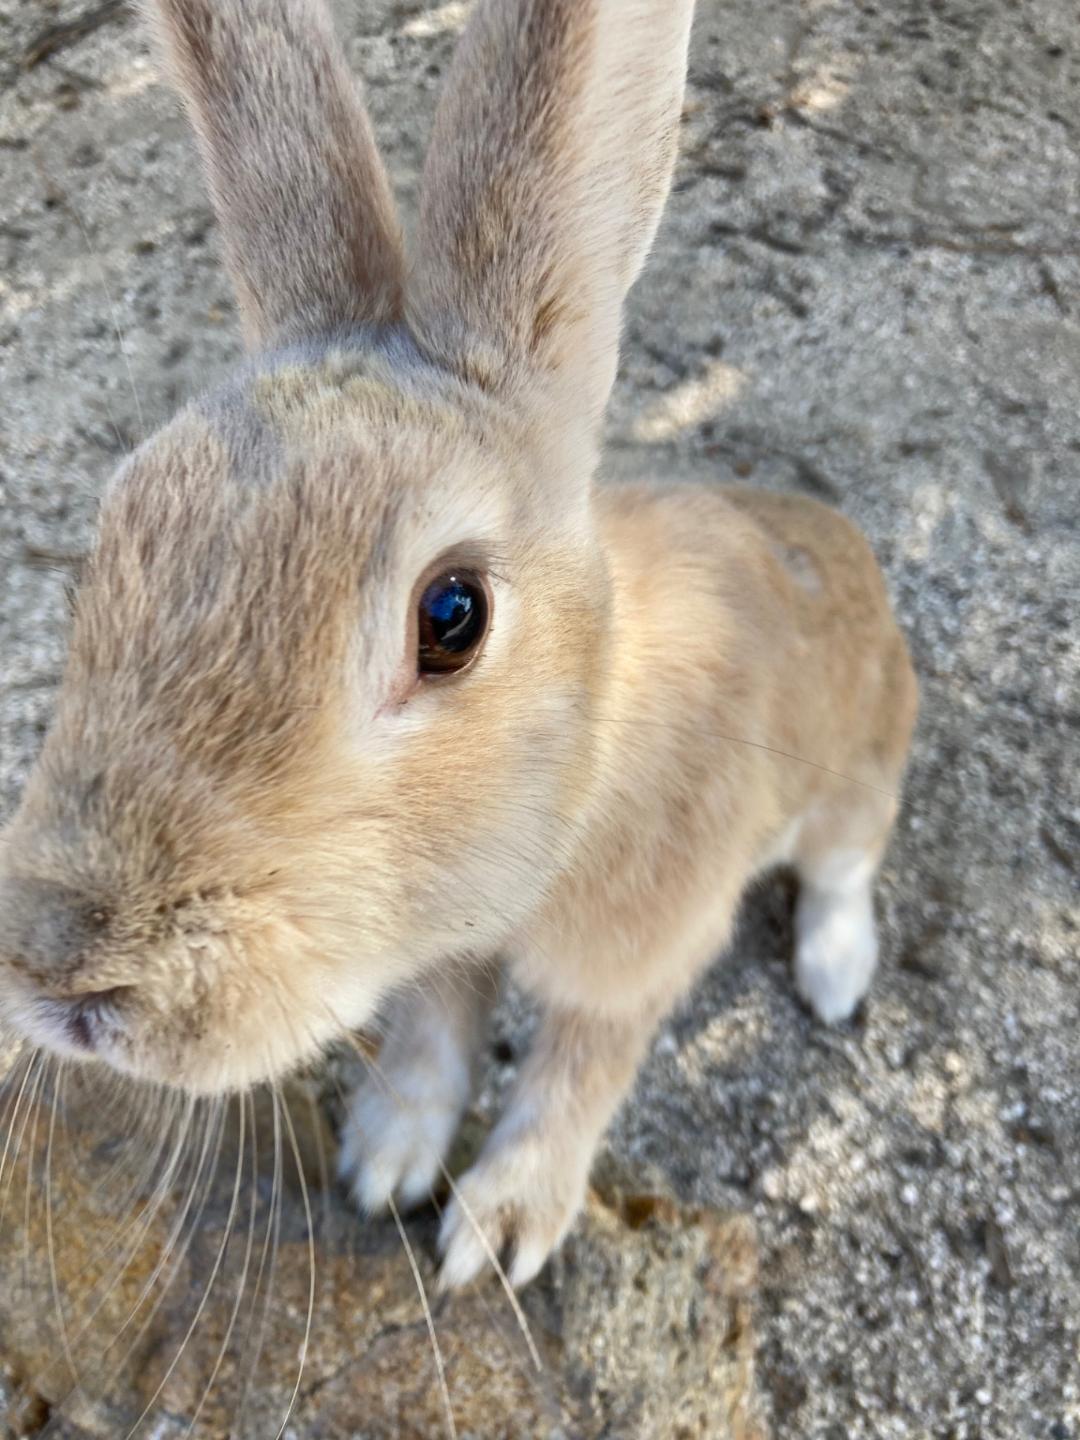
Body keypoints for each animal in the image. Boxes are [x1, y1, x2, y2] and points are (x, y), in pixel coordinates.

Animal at [0, 0, 915, 1296]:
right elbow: (437, 1033)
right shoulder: (442, 948)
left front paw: (500, 1233)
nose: (60, 984)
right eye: (111, 540)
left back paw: (836, 977)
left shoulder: (636, 951)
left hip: (858, 771)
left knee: (845, 867)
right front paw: (384, 1163)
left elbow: (579, 1069)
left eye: (451, 618)